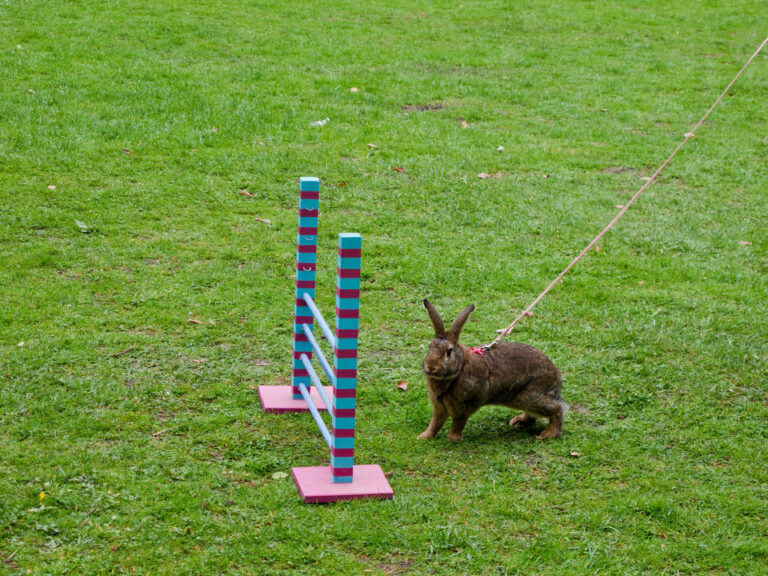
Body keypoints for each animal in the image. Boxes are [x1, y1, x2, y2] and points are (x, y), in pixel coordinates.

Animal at [420, 302, 564, 440]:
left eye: (449, 352)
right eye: (430, 347)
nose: (431, 367)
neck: (459, 369)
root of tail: (557, 379)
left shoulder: (464, 408)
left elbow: (457, 424)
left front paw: (452, 440)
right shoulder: (439, 408)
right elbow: (435, 423)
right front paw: (424, 437)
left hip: (531, 398)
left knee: (558, 409)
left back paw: (548, 434)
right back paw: (518, 422)